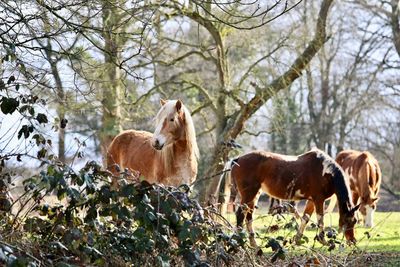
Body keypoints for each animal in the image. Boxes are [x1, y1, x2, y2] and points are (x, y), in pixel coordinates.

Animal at [228, 149, 360, 247]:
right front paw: (323, 240)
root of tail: (238, 159)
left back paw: (253, 243)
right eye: (347, 220)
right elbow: (320, 219)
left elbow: (305, 218)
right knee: (240, 215)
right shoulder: (319, 199)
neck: (326, 172)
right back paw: (240, 243)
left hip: (254, 195)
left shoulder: (311, 201)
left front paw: (297, 240)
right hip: (249, 194)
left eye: (355, 221)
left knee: (248, 216)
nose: (352, 241)